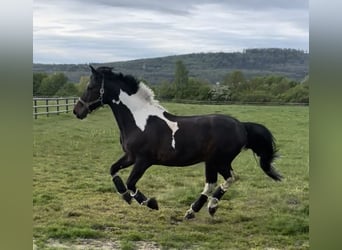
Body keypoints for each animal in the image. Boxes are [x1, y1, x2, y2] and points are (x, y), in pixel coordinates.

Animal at [73, 65, 282, 219]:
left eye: (90, 87)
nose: (77, 111)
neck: (139, 119)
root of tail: (241, 126)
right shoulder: (130, 156)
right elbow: (113, 170)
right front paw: (125, 197)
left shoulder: (143, 160)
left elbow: (131, 183)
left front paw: (151, 203)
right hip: (211, 162)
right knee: (212, 183)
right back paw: (193, 211)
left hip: (220, 160)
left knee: (230, 178)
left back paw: (209, 207)